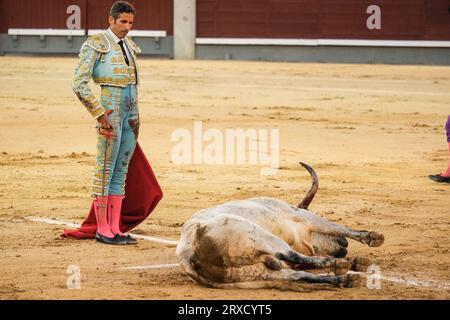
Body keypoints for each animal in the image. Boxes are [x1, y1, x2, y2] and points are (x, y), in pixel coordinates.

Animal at [176, 164, 384, 292]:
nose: (344, 244)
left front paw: (357, 260)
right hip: (263, 238)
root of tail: (188, 252)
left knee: (297, 274)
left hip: (252, 274)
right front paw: (372, 237)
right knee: (291, 255)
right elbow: (334, 226)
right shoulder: (301, 216)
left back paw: (345, 278)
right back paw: (339, 266)